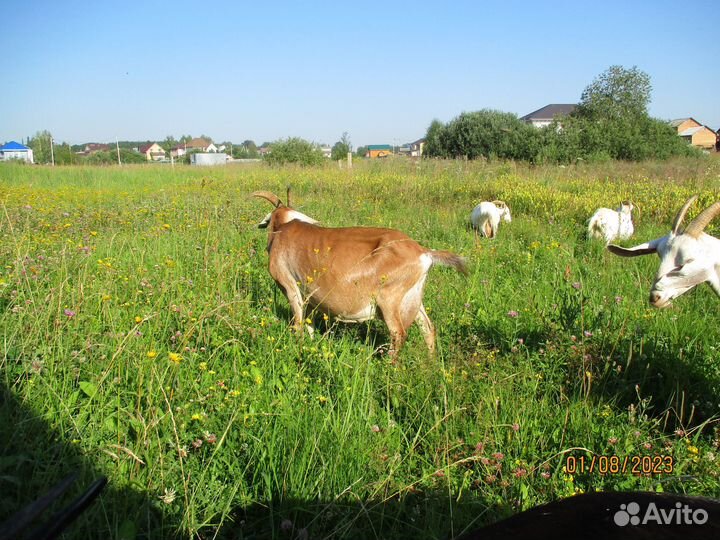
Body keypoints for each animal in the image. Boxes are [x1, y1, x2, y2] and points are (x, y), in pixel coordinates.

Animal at [252, 190, 468, 358]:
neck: (283, 229)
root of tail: (424, 253)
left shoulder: (290, 286)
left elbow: (298, 323)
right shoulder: (310, 296)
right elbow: (309, 322)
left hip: (389, 299)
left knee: (398, 334)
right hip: (413, 297)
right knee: (428, 328)